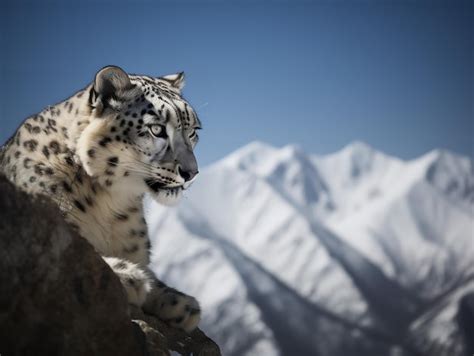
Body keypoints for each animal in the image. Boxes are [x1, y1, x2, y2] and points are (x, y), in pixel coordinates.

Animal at [0, 65, 202, 332]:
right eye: (157, 129)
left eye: (193, 131)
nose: (191, 172)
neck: (111, 202)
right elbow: (81, 255)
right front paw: (129, 276)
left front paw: (181, 303)